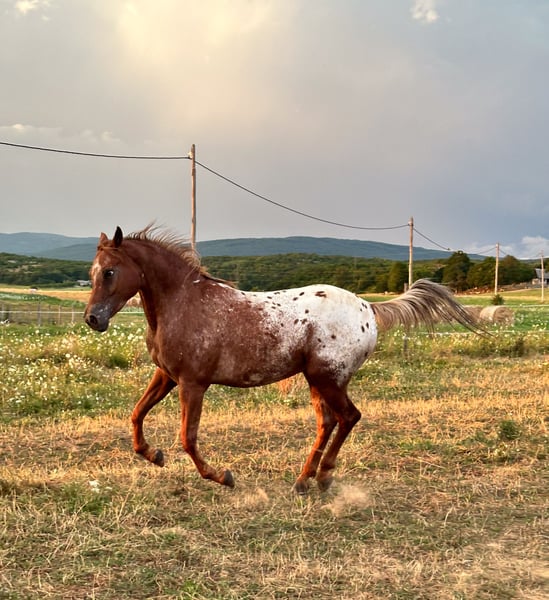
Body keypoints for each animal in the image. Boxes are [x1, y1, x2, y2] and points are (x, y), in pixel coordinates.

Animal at [84, 225, 480, 493]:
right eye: (91, 273)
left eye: (110, 271)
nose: (92, 319)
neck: (184, 303)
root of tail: (368, 307)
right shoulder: (166, 375)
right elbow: (136, 415)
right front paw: (153, 454)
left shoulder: (193, 384)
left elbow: (188, 438)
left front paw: (222, 476)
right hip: (317, 381)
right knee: (329, 422)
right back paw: (305, 480)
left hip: (327, 378)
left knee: (348, 417)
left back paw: (322, 477)